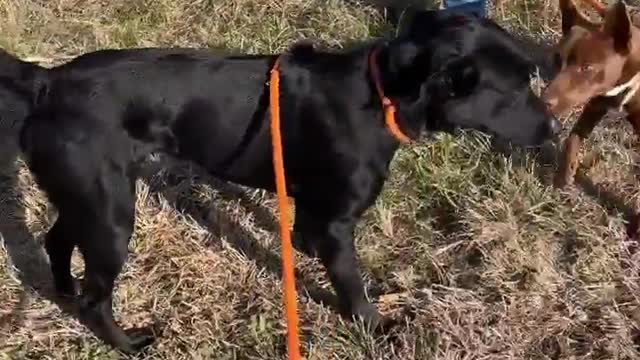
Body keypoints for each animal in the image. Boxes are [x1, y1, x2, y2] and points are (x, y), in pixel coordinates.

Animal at [6, 11, 560, 354]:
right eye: (514, 90)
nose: (554, 127)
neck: (382, 93)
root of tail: (48, 81)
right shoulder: (337, 224)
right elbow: (351, 286)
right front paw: (376, 328)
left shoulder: (316, 214)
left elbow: (307, 243)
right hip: (111, 215)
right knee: (96, 297)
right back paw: (126, 344)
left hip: (86, 199)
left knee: (57, 245)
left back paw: (62, 292)